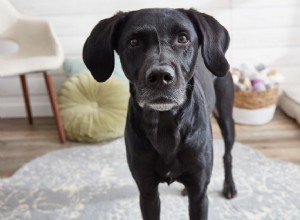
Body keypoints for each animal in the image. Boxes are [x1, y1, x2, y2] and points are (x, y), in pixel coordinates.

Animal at [82, 7, 237, 219]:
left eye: (183, 38)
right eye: (134, 42)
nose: (161, 76)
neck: (165, 123)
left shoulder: (199, 195)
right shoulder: (147, 192)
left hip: (226, 117)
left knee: (227, 155)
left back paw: (229, 186)